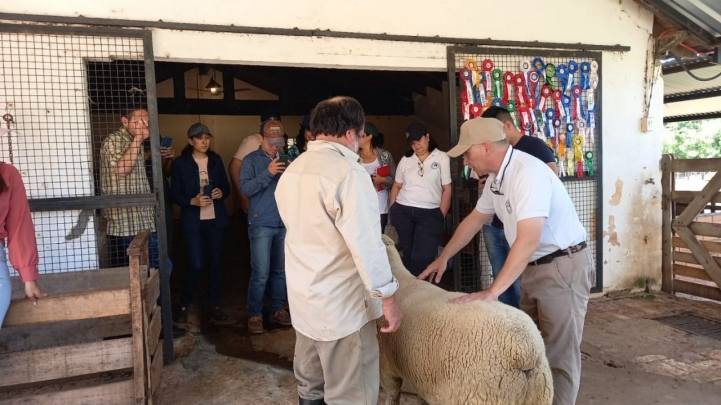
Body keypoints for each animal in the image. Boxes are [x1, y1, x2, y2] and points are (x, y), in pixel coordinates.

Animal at [376, 234, 552, 404]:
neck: (402, 278)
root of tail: (524, 351)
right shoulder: (421, 376)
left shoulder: (386, 364)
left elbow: (392, 393)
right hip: (541, 393)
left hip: (481, 394)